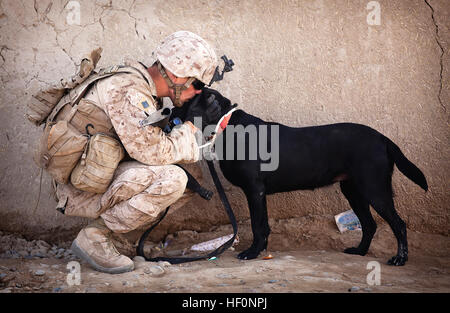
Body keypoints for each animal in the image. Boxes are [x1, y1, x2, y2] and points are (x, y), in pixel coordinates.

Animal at [175, 88, 426, 266]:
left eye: (187, 100)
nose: (170, 111)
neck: (226, 125)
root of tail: (382, 138)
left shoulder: (254, 190)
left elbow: (257, 225)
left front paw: (252, 252)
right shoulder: (259, 193)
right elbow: (264, 225)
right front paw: (261, 250)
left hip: (374, 188)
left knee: (398, 224)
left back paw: (399, 259)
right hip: (353, 190)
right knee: (370, 224)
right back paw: (360, 251)